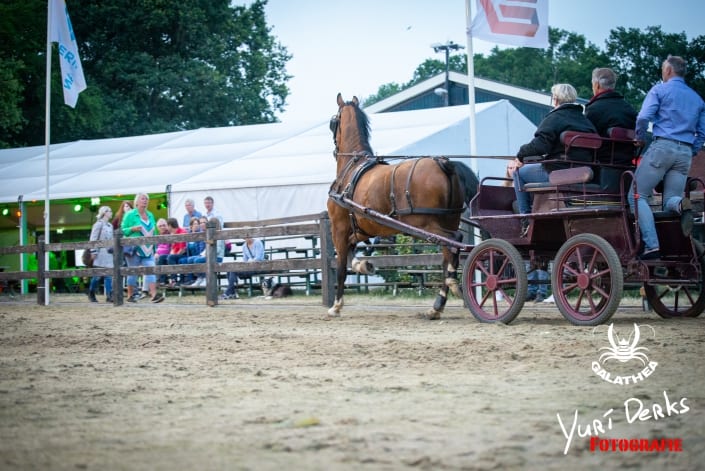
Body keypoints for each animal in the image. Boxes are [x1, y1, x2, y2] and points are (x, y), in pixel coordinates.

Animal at [328, 94, 476, 318]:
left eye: (333, 122)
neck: (351, 169)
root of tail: (445, 164)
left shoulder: (339, 228)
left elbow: (341, 268)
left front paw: (336, 306)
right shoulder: (360, 228)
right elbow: (352, 256)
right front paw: (364, 265)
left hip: (426, 224)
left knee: (455, 240)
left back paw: (450, 285)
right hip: (449, 219)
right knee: (448, 253)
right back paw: (437, 305)